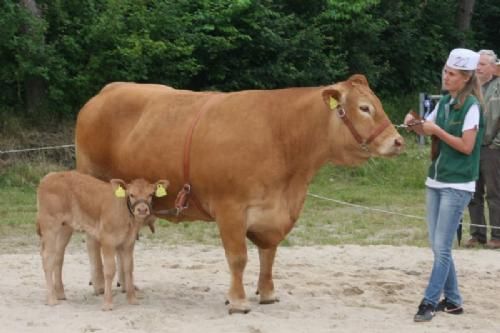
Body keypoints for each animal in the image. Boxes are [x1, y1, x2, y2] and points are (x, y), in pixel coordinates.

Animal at [35, 170, 169, 310]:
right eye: (131, 194)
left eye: (150, 194)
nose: (142, 209)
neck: (124, 212)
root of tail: (50, 176)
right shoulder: (107, 240)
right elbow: (110, 270)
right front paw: (108, 303)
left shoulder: (129, 242)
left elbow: (128, 268)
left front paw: (132, 299)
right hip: (49, 225)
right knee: (47, 256)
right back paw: (52, 299)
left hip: (65, 227)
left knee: (58, 256)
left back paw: (60, 293)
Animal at [74, 74, 404, 312]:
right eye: (364, 108)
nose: (398, 141)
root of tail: (106, 92)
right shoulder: (230, 209)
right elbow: (238, 257)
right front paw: (238, 300)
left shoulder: (273, 213)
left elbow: (268, 254)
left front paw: (267, 293)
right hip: (94, 184)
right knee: (92, 239)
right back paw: (100, 284)